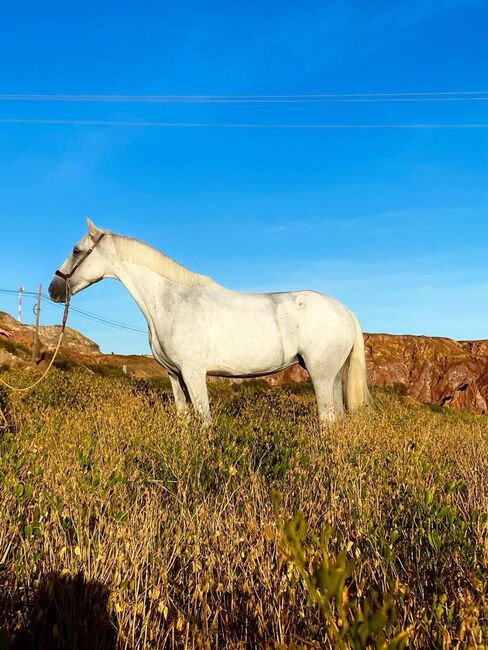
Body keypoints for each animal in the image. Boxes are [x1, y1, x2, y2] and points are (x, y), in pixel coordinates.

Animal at [49, 219, 370, 420]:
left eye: (76, 250)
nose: (54, 289)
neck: (170, 301)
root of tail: (343, 310)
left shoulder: (193, 373)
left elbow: (204, 421)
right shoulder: (175, 376)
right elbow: (184, 421)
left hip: (321, 375)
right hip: (334, 376)